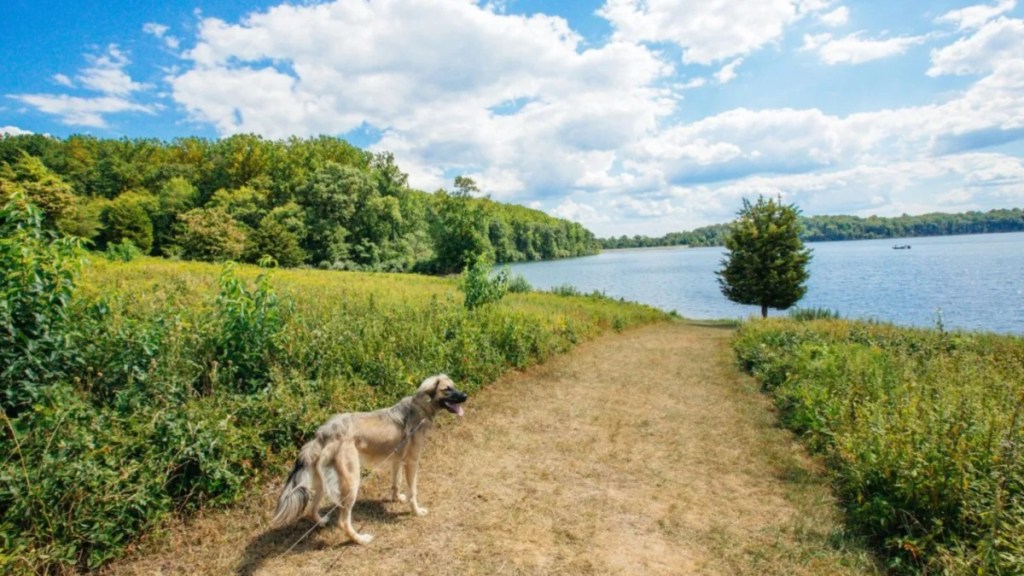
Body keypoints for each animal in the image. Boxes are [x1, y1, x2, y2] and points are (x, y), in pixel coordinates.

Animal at [268, 373, 468, 541]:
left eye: (454, 386)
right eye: (446, 389)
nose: (465, 396)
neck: (420, 407)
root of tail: (323, 433)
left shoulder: (397, 460)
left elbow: (396, 484)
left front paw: (397, 499)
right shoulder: (412, 462)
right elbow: (413, 492)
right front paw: (416, 511)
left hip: (323, 482)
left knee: (311, 509)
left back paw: (322, 521)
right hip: (352, 481)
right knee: (342, 522)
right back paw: (359, 539)